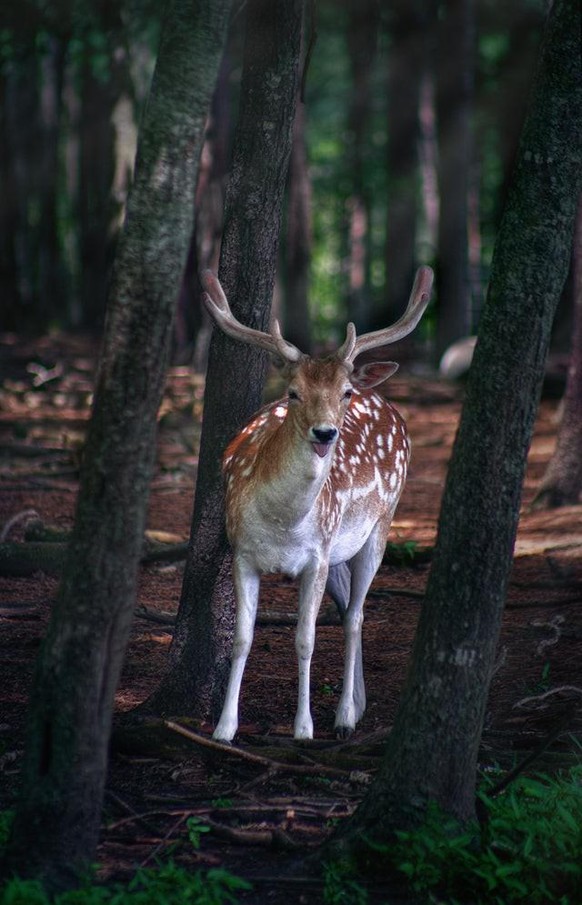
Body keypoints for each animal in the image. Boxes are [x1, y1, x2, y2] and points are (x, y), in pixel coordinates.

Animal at [203, 264, 436, 740]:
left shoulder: (315, 557)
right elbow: (242, 638)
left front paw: (304, 728)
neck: (283, 524)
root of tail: (382, 397)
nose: (325, 432)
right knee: (347, 606)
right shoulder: (243, 553)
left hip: (378, 526)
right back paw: (358, 704)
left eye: (343, 391)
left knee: (356, 615)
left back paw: (346, 715)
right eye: (293, 391)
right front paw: (225, 727)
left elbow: (305, 639)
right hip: (339, 550)